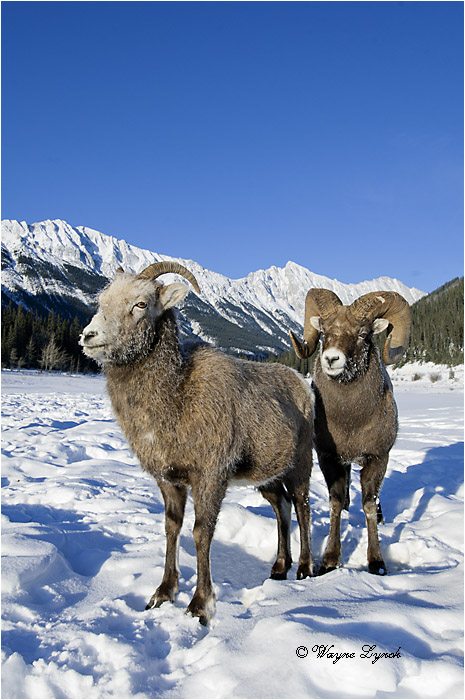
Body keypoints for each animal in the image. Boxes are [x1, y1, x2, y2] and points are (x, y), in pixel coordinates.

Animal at [80, 261, 313, 625]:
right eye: (102, 300)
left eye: (141, 304)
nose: (89, 337)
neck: (177, 399)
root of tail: (304, 385)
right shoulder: (170, 480)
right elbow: (171, 529)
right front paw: (162, 593)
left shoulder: (211, 476)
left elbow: (201, 533)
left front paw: (200, 605)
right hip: (267, 477)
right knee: (282, 507)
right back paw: (279, 567)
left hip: (301, 464)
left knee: (302, 507)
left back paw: (304, 569)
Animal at [289, 288, 411, 576]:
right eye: (324, 331)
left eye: (362, 334)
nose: (332, 359)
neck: (351, 422)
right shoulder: (329, 459)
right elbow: (334, 502)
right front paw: (330, 561)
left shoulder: (378, 459)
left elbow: (368, 504)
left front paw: (376, 562)